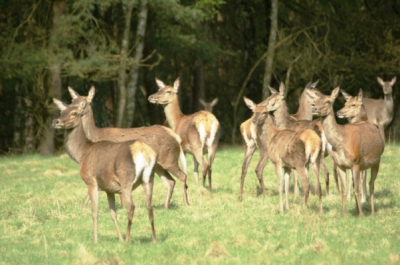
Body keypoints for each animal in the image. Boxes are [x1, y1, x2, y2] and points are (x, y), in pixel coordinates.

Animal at [52, 98, 158, 242]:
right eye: (61, 111)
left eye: (74, 113)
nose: (56, 121)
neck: (82, 154)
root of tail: (145, 152)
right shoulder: (109, 189)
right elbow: (113, 214)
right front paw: (118, 238)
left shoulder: (91, 181)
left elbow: (94, 212)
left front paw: (95, 240)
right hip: (149, 178)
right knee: (149, 207)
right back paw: (154, 240)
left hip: (126, 178)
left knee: (131, 206)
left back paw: (127, 239)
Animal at [306, 87, 384, 216]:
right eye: (315, 101)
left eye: (328, 101)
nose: (314, 109)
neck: (341, 144)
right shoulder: (340, 165)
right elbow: (343, 189)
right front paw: (343, 213)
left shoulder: (356, 162)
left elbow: (356, 189)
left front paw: (361, 215)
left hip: (376, 162)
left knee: (371, 184)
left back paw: (372, 212)